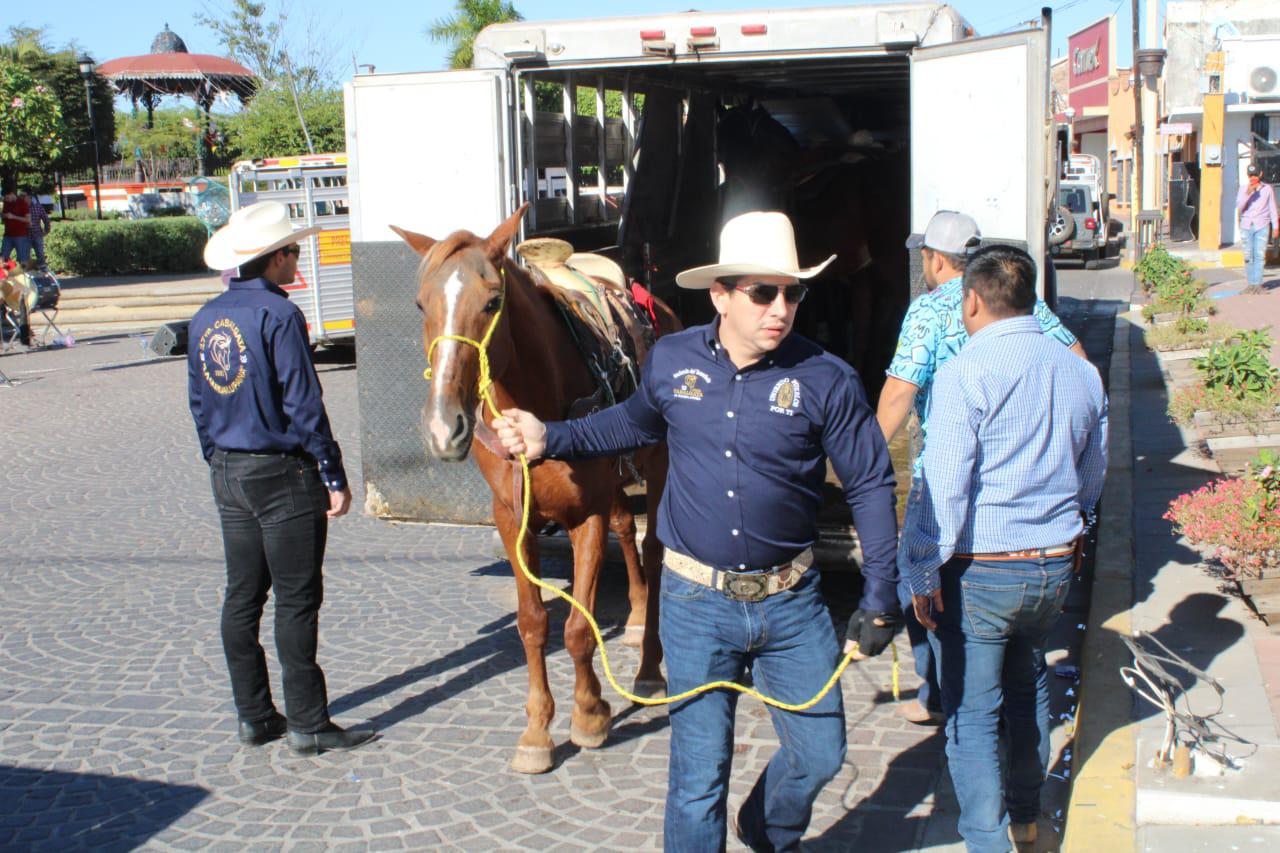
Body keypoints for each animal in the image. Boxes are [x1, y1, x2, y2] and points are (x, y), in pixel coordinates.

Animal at [391, 204, 680, 768]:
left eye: (492, 301)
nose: (443, 427)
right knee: (626, 528)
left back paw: (650, 669)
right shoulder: (512, 519)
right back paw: (636, 619)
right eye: (420, 303)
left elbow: (577, 628)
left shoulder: (584, 519)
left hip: (657, 468)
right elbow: (532, 624)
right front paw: (537, 730)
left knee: (654, 552)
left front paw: (589, 715)